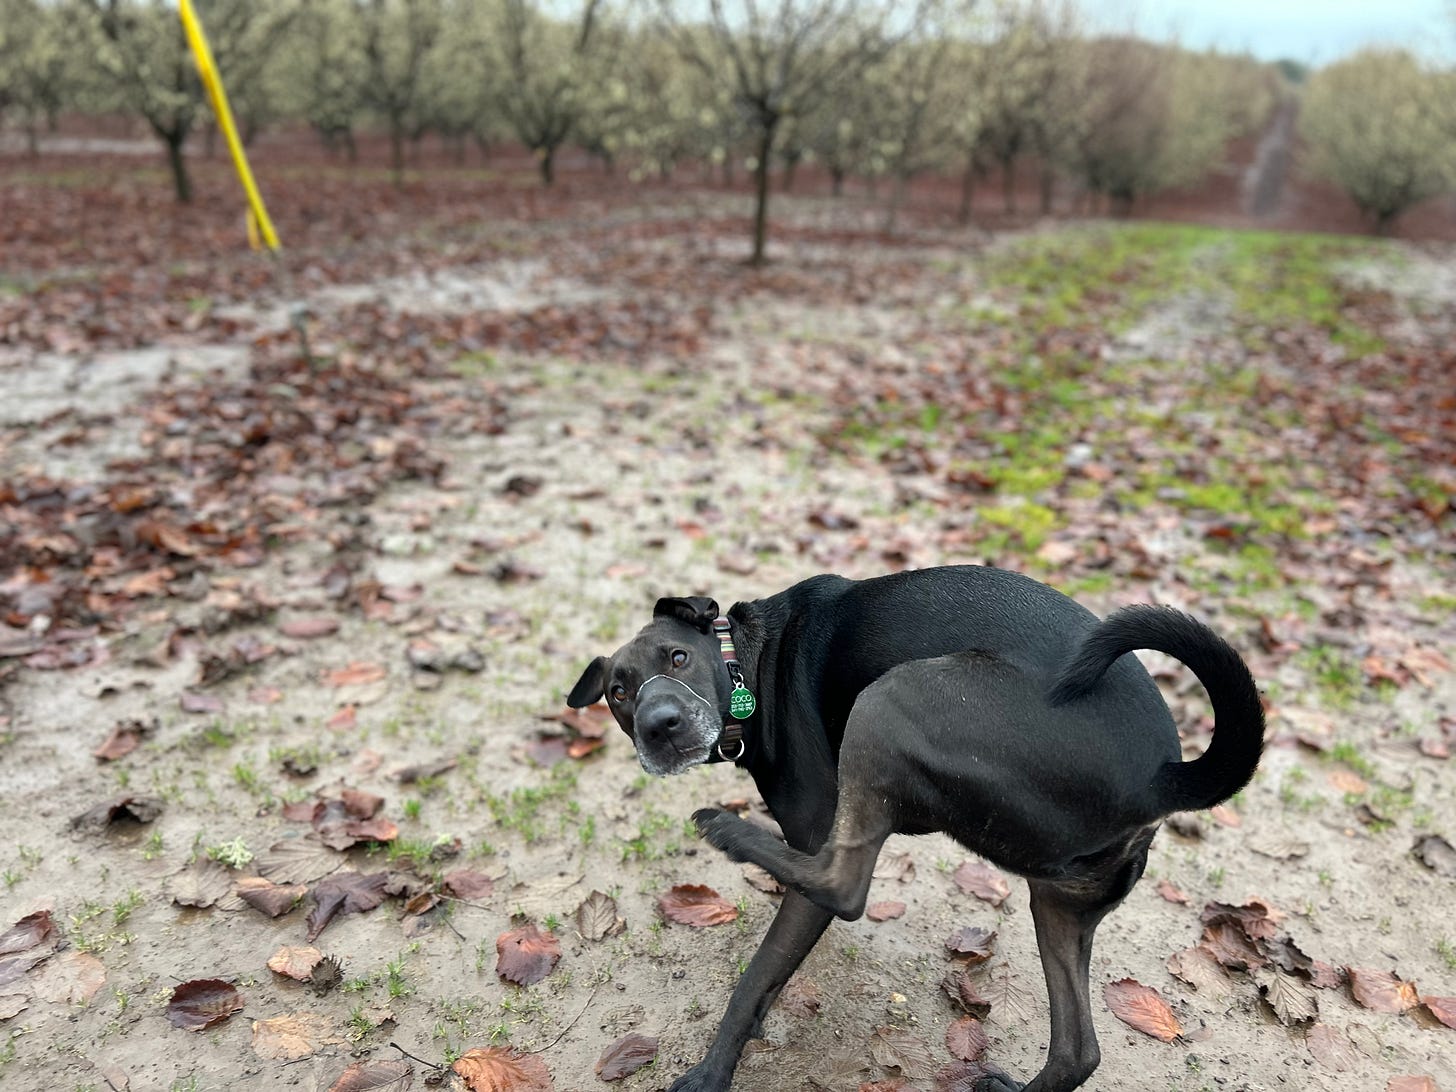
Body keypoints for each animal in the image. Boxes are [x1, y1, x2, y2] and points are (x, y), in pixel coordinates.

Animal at [567, 567, 1263, 1089]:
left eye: (678, 657)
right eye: (618, 694)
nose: (659, 725)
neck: (750, 662)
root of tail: (1162, 776)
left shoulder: (814, 836)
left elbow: (758, 976)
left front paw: (711, 1076)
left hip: (892, 697)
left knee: (844, 885)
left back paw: (730, 833)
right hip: (1059, 903)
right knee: (1079, 1051)